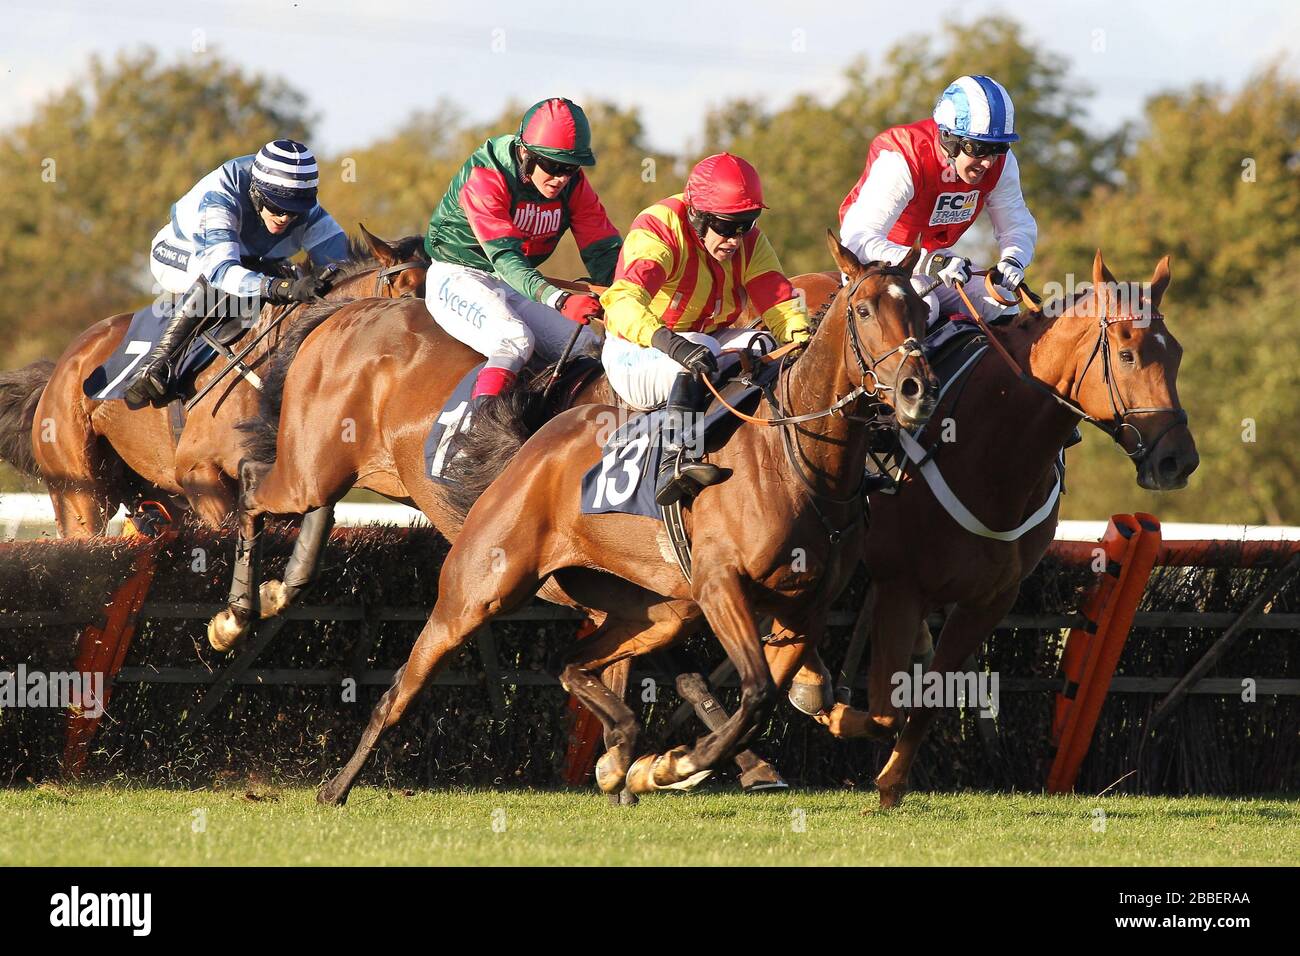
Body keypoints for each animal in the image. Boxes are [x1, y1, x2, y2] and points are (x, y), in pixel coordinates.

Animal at [315, 234, 941, 806]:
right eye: (865, 310)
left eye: (921, 311)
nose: (917, 390)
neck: (798, 460)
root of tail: (533, 443)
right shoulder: (721, 586)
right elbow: (758, 692)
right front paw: (672, 766)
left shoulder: (806, 607)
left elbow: (811, 699)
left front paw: (651, 766)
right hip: (480, 588)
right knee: (402, 686)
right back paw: (336, 787)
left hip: (654, 611)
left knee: (571, 663)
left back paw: (618, 750)